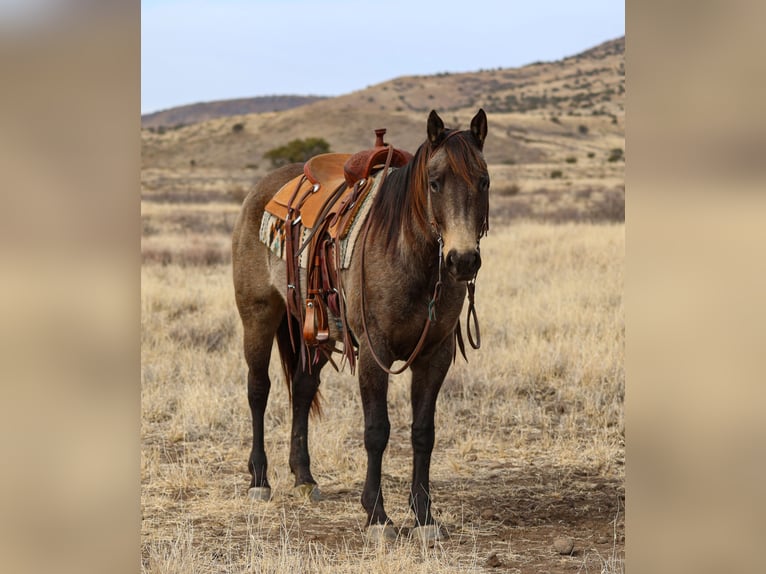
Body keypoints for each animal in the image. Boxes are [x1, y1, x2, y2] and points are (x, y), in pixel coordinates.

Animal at [231, 109, 488, 544]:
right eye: (435, 182)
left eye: (483, 181)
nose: (463, 260)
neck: (408, 254)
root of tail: (259, 193)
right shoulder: (374, 351)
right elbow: (377, 431)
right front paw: (377, 517)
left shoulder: (435, 354)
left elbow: (424, 432)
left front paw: (424, 516)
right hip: (259, 316)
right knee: (258, 390)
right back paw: (259, 480)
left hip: (312, 329)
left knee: (302, 389)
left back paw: (304, 477)